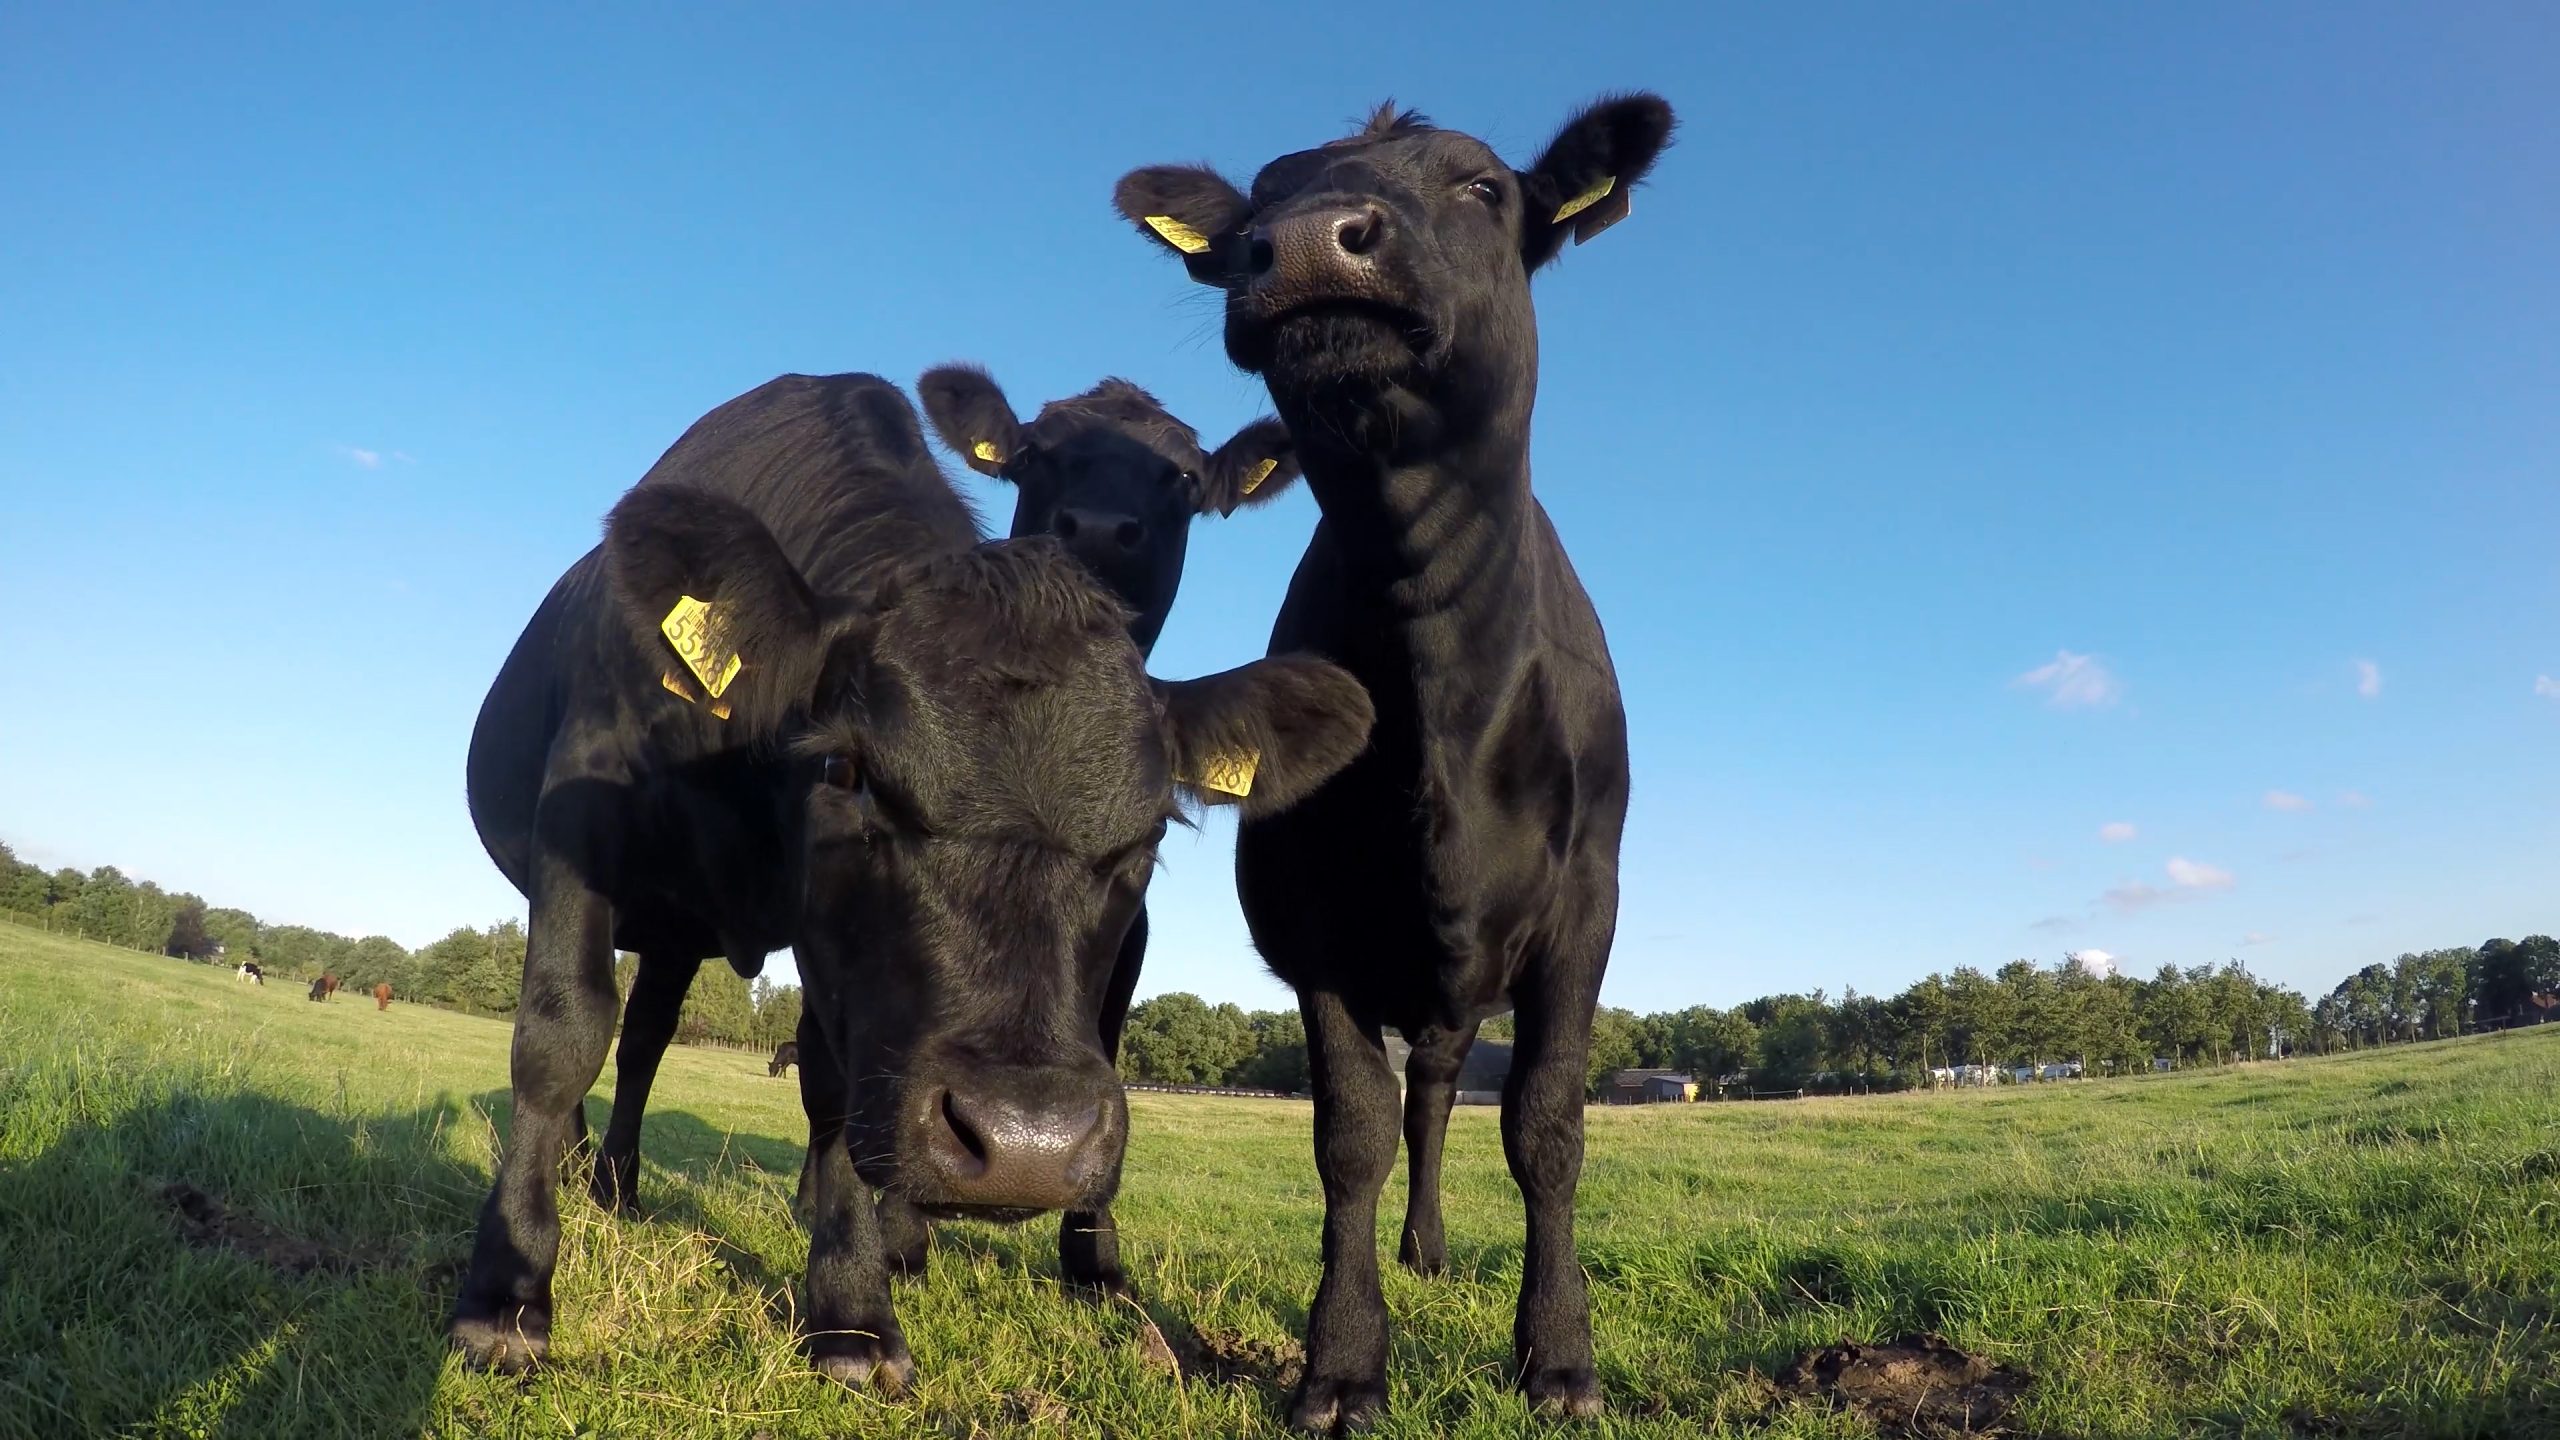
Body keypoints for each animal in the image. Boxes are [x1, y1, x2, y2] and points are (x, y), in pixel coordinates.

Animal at [460, 366, 1382, 1383]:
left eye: (1147, 837)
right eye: (847, 773)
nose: (1027, 1142)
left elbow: (829, 1087)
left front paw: (852, 1311)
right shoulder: (579, 809)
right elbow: (559, 1030)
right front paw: (507, 1290)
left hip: (677, 933)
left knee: (650, 1036)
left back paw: (617, 1184)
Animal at [1111, 89, 1669, 1424]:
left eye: (1480, 186)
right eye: (1258, 208)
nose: (1313, 243)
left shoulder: (1587, 907)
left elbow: (1546, 1126)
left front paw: (1558, 1358)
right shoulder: (1308, 920)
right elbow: (1350, 1134)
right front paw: (1342, 1364)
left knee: (1448, 1092)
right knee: (1416, 1101)